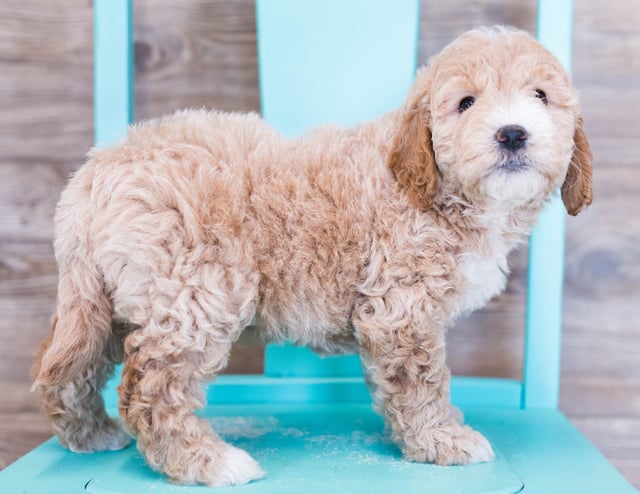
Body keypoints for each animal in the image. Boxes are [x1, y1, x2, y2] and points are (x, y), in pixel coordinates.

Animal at [31, 27, 592, 486]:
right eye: (466, 103)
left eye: (541, 96)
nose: (513, 133)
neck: (434, 188)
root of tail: (96, 172)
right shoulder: (400, 311)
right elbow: (421, 382)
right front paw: (441, 440)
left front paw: (442, 429)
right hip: (196, 294)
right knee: (151, 387)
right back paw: (204, 462)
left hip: (113, 301)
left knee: (67, 369)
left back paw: (89, 435)